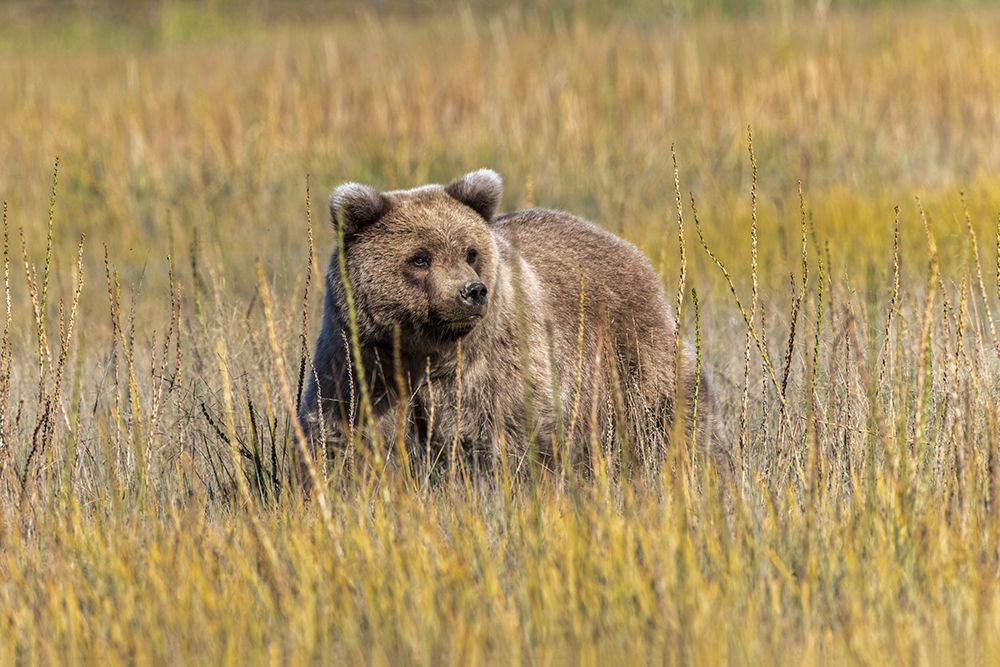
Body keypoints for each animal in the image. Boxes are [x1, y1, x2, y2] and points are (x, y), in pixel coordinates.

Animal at [296, 170, 728, 478]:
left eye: (470, 252)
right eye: (420, 257)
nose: (472, 291)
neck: (426, 349)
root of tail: (624, 245)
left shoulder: (491, 369)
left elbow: (503, 436)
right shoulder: (363, 363)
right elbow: (345, 433)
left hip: (627, 350)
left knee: (668, 411)